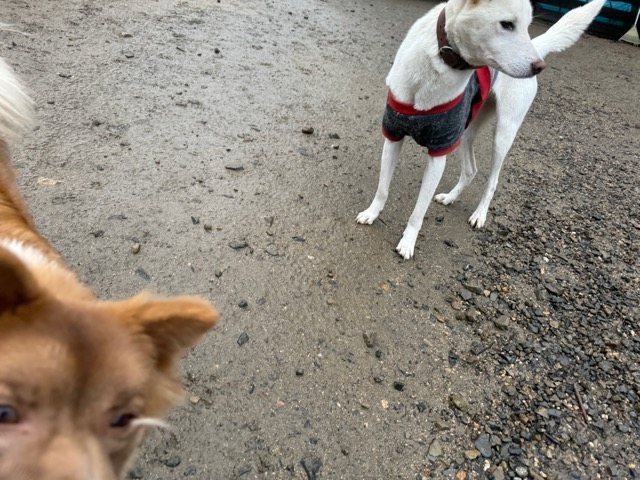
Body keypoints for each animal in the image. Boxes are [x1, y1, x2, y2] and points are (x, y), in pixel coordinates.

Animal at [356, 0, 605, 259]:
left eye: (527, 25)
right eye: (507, 24)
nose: (539, 66)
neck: (440, 60)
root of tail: (537, 47)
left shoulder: (439, 152)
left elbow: (419, 210)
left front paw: (408, 242)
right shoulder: (393, 136)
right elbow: (382, 188)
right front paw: (372, 213)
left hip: (503, 135)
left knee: (492, 181)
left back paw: (480, 214)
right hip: (466, 131)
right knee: (471, 170)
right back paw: (450, 197)